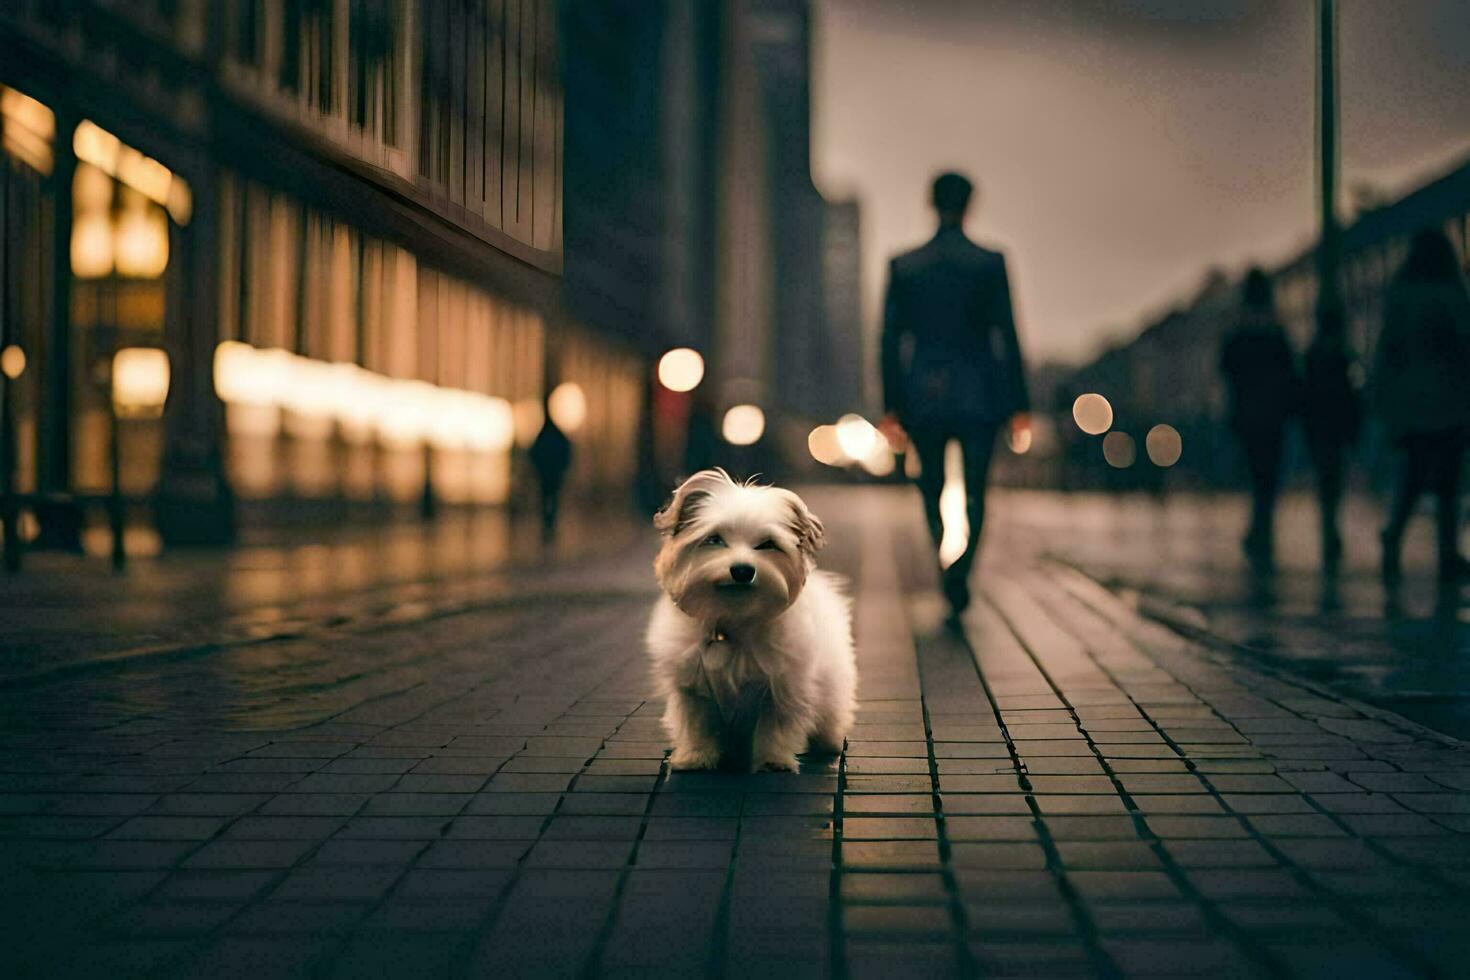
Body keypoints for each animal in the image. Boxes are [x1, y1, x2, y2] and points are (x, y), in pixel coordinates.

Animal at [646, 470, 858, 775]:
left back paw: (827, 743)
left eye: (767, 544)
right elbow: (698, 727)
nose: (743, 570)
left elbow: (774, 728)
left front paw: (772, 761)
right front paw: (696, 758)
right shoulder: (694, 691)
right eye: (714, 539)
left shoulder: (780, 688)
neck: (733, 619)